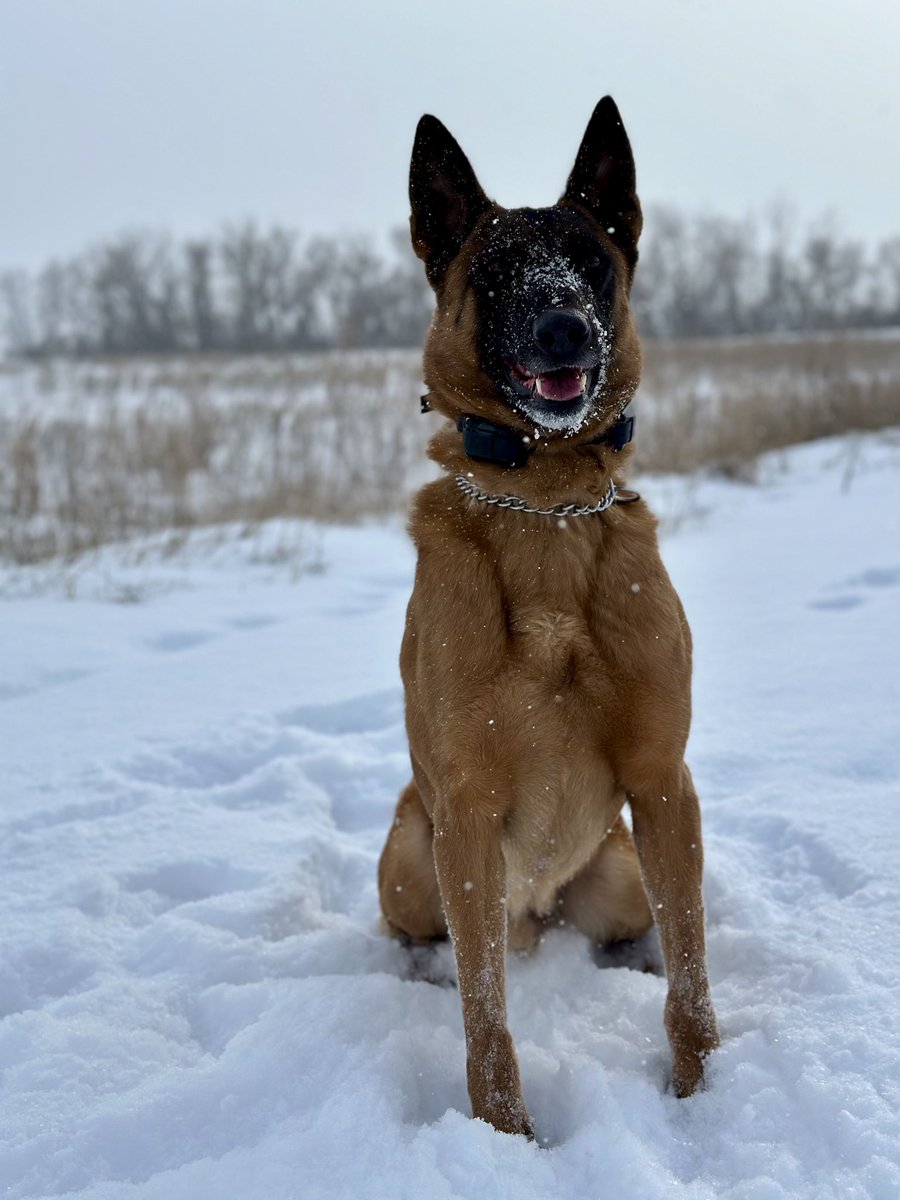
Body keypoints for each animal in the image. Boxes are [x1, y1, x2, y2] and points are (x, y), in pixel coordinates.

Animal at [376, 93, 724, 1132]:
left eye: (591, 262)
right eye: (495, 274)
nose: (567, 330)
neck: (550, 505)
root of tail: (538, 911)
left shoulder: (664, 786)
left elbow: (692, 982)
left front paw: (701, 1096)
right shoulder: (464, 815)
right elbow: (486, 1019)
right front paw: (506, 1136)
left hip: (619, 873)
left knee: (647, 927)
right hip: (413, 855)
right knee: (440, 945)